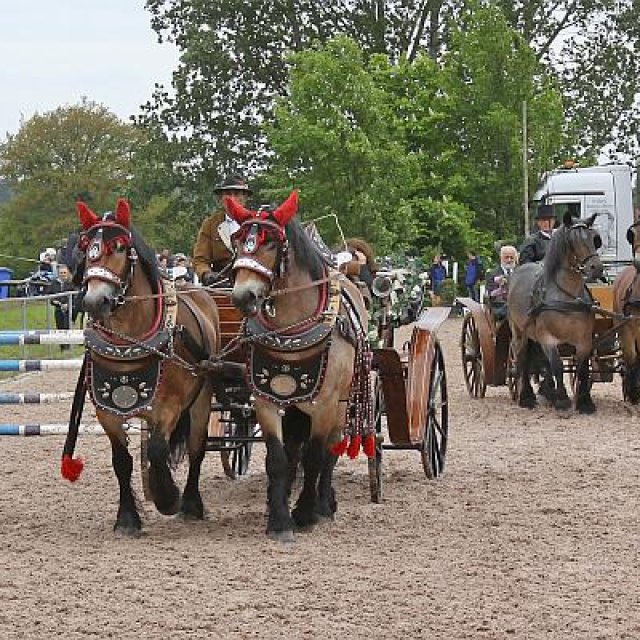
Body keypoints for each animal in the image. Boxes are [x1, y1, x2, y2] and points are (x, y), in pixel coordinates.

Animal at [61, 199, 220, 536]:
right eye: (87, 248)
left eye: (119, 247)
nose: (94, 300)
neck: (131, 338)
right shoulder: (107, 411)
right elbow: (121, 461)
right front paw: (127, 517)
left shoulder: (170, 406)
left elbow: (159, 450)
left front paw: (167, 497)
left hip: (201, 398)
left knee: (197, 448)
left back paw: (190, 503)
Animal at [226, 192, 372, 544]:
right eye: (239, 240)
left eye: (269, 242)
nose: (243, 296)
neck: (292, 329)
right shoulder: (266, 400)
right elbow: (278, 459)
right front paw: (279, 519)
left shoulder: (324, 403)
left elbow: (316, 456)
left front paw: (305, 512)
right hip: (293, 404)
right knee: (293, 452)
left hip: (342, 402)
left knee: (330, 450)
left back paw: (324, 502)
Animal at [508, 214, 604, 416]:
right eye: (574, 241)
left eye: (594, 239)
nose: (596, 268)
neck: (568, 296)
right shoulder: (547, 337)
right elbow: (557, 366)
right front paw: (562, 400)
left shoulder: (584, 339)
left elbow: (582, 369)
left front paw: (585, 402)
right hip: (519, 332)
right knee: (522, 359)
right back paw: (526, 397)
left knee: (538, 362)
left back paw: (546, 392)